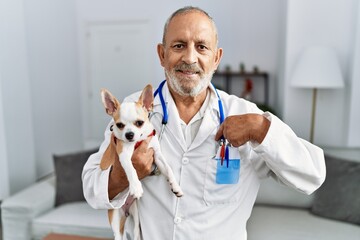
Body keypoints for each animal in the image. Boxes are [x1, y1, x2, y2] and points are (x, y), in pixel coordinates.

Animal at [99, 85, 183, 240]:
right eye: (119, 125)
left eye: (139, 123)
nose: (129, 134)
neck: (138, 141)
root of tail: (124, 210)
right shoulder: (124, 156)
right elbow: (131, 170)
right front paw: (136, 187)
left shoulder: (157, 155)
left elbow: (168, 169)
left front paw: (175, 186)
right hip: (115, 219)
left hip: (136, 216)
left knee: (136, 234)